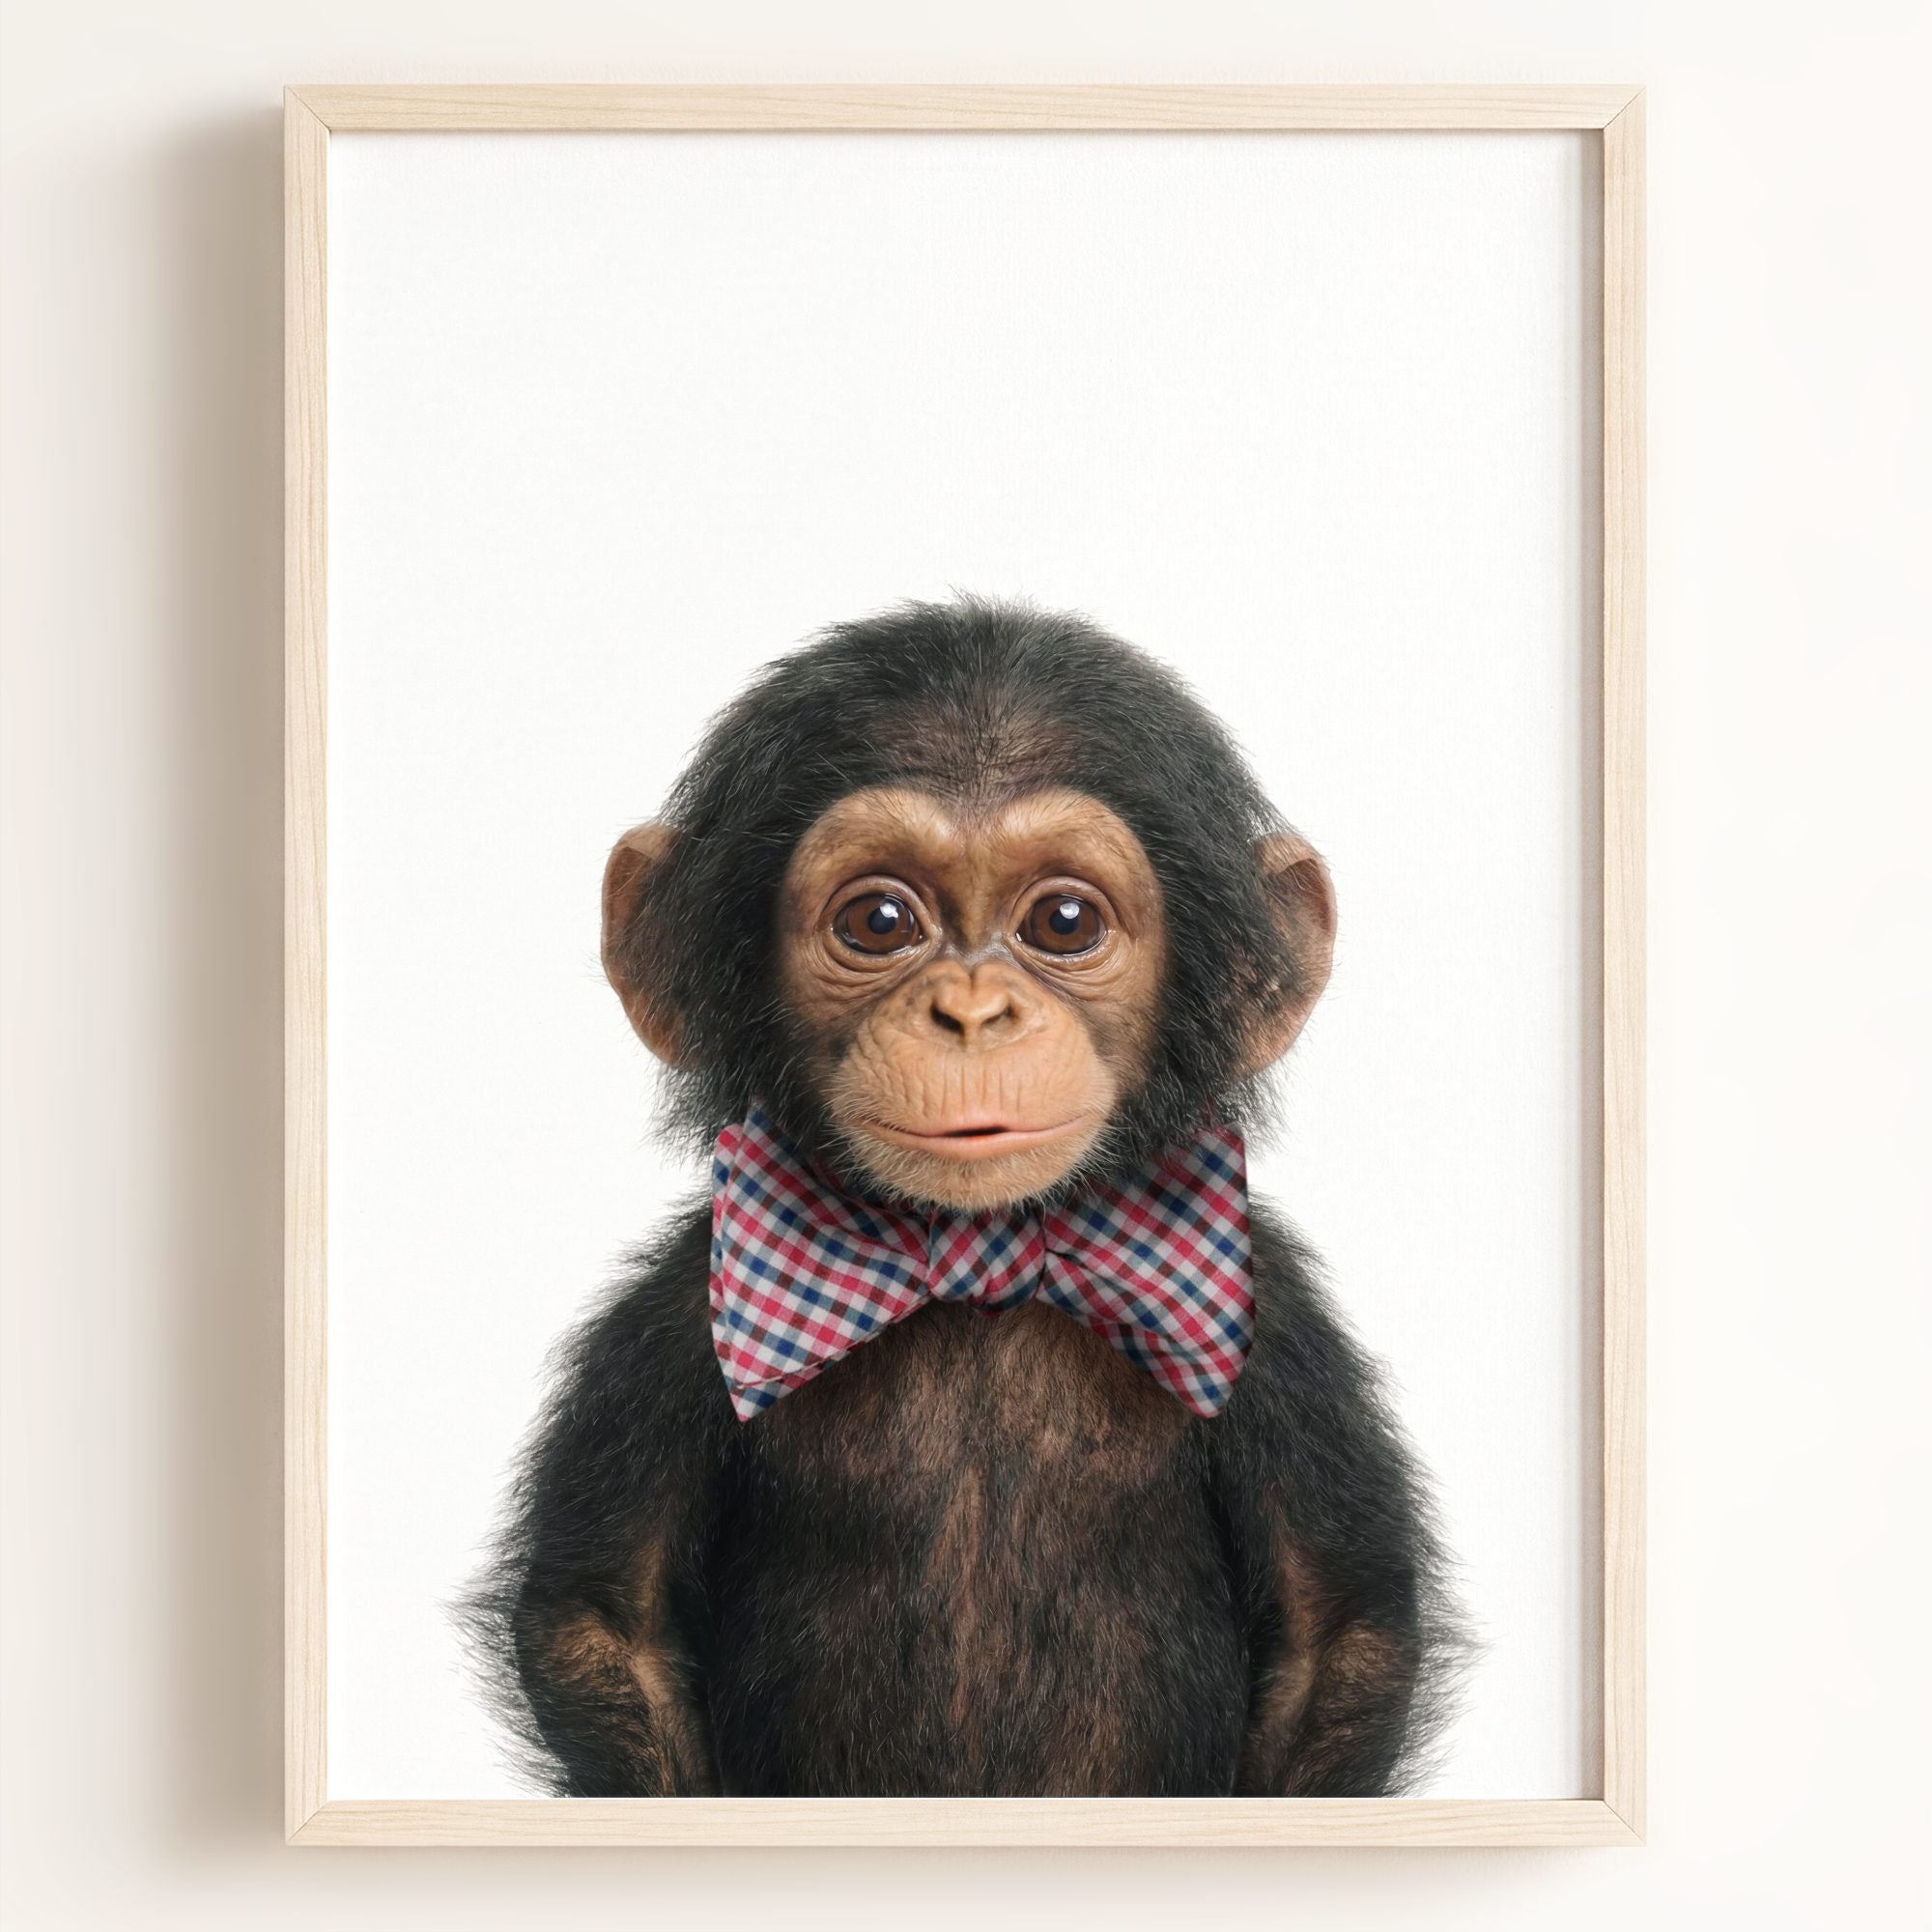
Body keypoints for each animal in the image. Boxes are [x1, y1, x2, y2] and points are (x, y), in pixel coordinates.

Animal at [464, 596, 1465, 1798]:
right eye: (880, 921)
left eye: (1065, 921)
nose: (973, 1012)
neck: (976, 1256)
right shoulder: (668, 1322)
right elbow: (605, 1621)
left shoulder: (1276, 1334)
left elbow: (1336, 1633)